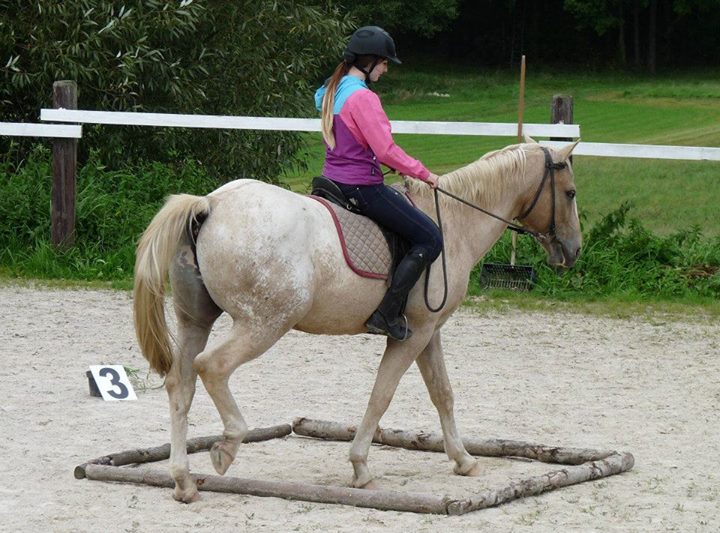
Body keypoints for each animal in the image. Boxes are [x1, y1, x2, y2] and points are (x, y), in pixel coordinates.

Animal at [135, 139, 584, 500]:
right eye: (571, 192)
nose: (573, 250)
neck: (455, 220)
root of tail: (211, 204)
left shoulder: (428, 332)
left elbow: (443, 393)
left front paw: (463, 459)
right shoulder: (412, 334)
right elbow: (382, 394)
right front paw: (361, 466)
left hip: (196, 321)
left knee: (180, 384)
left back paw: (183, 481)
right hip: (264, 324)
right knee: (212, 367)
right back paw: (228, 446)